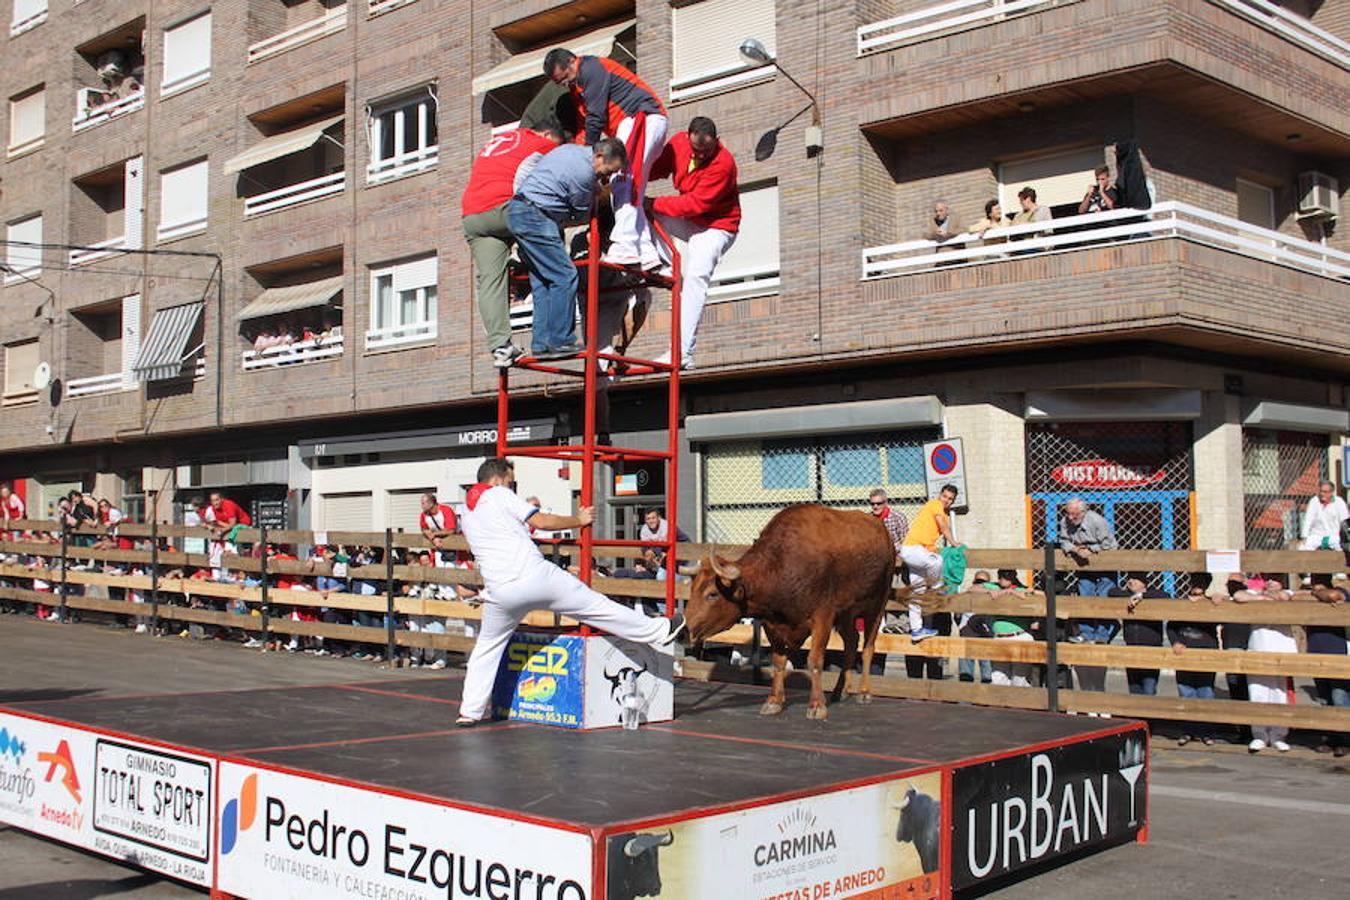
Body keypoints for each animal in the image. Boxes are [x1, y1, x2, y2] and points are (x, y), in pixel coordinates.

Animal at [685, 504, 896, 723]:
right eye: (692, 589)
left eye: (712, 594)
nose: (684, 630)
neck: (784, 566)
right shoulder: (772, 624)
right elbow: (779, 662)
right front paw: (774, 701)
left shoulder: (823, 617)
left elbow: (814, 660)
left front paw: (817, 704)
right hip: (846, 613)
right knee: (852, 643)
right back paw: (840, 690)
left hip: (877, 605)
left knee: (868, 647)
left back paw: (864, 692)